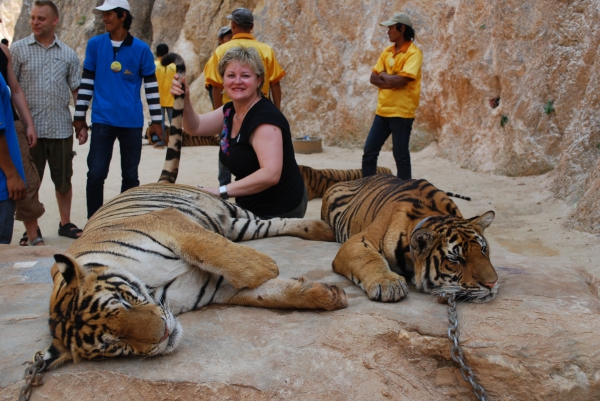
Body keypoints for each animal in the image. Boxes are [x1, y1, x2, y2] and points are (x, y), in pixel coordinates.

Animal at [43, 54, 346, 368]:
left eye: (123, 301)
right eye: (114, 343)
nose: (164, 333)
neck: (152, 289)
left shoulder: (168, 221)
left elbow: (211, 249)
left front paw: (266, 268)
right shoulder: (215, 287)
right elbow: (267, 295)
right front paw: (328, 295)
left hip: (225, 208)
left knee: (272, 220)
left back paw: (322, 229)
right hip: (236, 226)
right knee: (268, 225)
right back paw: (320, 231)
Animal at [322, 173, 500, 302]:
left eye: (483, 249)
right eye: (455, 259)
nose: (492, 283)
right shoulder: (359, 241)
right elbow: (369, 258)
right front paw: (388, 283)